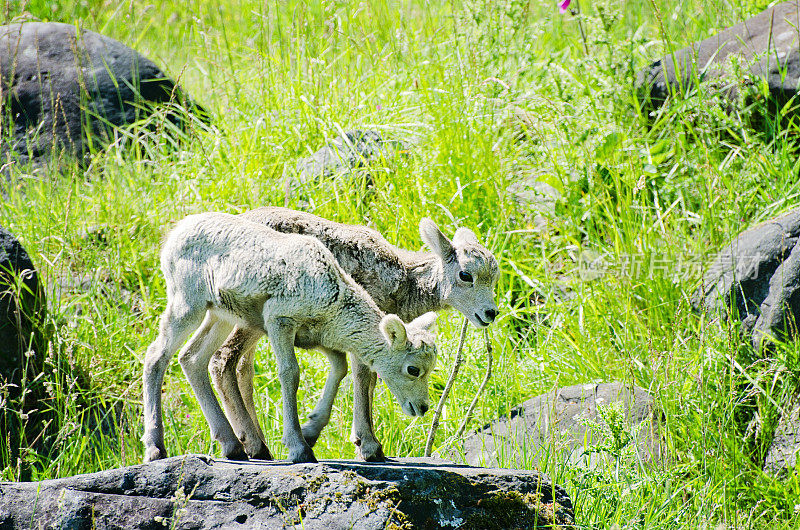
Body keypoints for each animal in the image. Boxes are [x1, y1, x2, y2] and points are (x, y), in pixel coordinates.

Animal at [140, 212, 434, 464]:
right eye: (413, 369)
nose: (422, 408)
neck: (333, 297)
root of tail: (175, 233)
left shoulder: (317, 338)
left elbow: (340, 367)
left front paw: (311, 429)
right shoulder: (279, 321)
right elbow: (290, 373)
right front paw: (300, 448)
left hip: (221, 315)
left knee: (192, 358)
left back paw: (233, 447)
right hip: (188, 304)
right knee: (157, 355)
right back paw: (156, 449)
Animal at [209, 204, 496, 460]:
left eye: (494, 278)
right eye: (465, 275)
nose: (491, 313)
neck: (403, 282)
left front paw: (317, 433)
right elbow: (364, 376)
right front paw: (369, 447)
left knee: (242, 369)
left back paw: (258, 445)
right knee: (223, 359)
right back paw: (252, 445)